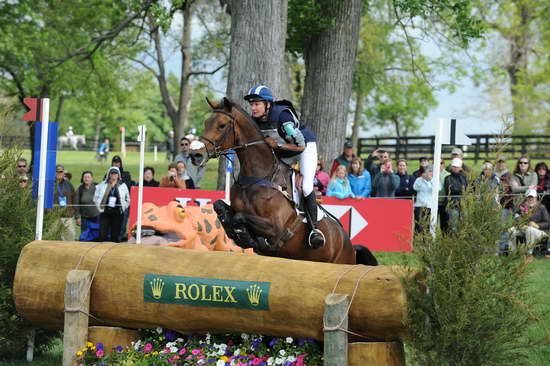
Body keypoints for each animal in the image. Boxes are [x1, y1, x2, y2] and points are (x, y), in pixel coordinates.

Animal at [191, 97, 380, 266]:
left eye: (222, 125)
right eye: (206, 123)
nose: (196, 155)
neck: (259, 176)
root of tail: (350, 245)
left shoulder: (276, 228)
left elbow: (239, 217)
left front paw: (245, 236)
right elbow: (220, 206)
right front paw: (235, 232)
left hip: (341, 261)